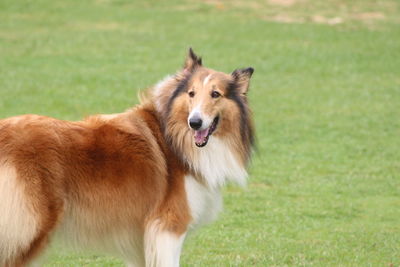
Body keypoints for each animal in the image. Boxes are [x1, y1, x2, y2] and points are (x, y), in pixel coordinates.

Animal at [0, 49, 255, 266]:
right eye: (191, 94)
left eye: (215, 94)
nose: (195, 122)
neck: (173, 137)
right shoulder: (168, 228)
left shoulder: (144, 241)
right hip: (29, 229)